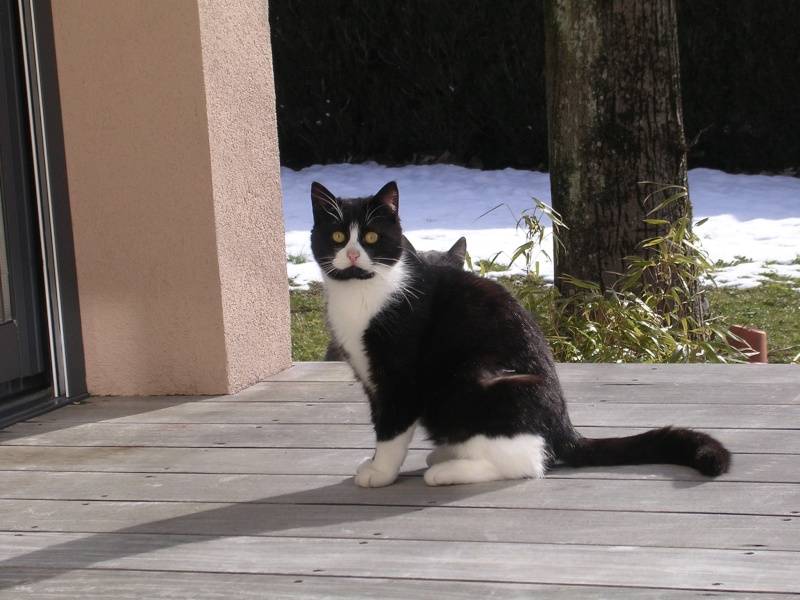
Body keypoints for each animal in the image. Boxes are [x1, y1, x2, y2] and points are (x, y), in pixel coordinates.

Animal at [310, 182, 736, 488]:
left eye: (371, 238)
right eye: (337, 237)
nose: (352, 254)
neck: (362, 294)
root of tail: (564, 427)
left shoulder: (401, 378)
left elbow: (392, 430)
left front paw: (380, 472)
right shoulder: (370, 379)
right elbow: (380, 420)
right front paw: (376, 463)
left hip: (475, 378)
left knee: (529, 462)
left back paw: (448, 470)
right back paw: (448, 454)